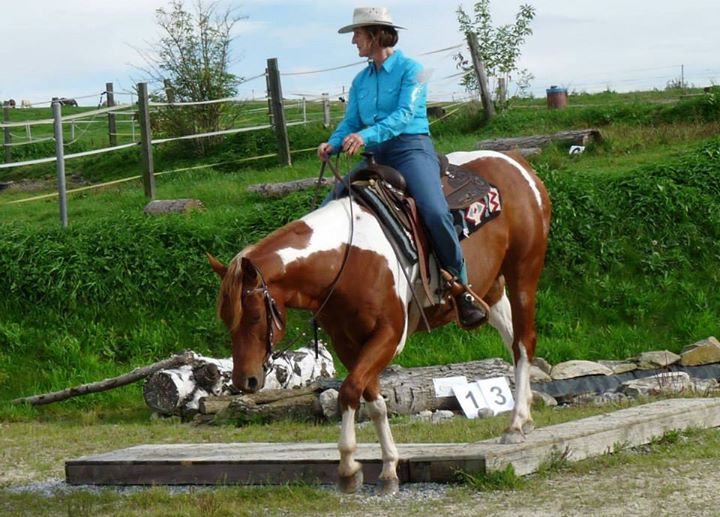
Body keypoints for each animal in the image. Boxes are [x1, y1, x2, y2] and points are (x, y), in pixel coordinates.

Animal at [208, 148, 552, 492]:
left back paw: (515, 425)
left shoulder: (388, 336)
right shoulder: (348, 342)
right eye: (225, 318)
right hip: (490, 288)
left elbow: (349, 391)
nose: (245, 381)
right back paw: (524, 418)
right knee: (512, 341)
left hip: (523, 271)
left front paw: (348, 467)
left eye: (255, 315)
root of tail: (516, 162)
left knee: (524, 342)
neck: (347, 258)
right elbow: (373, 401)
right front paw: (388, 469)